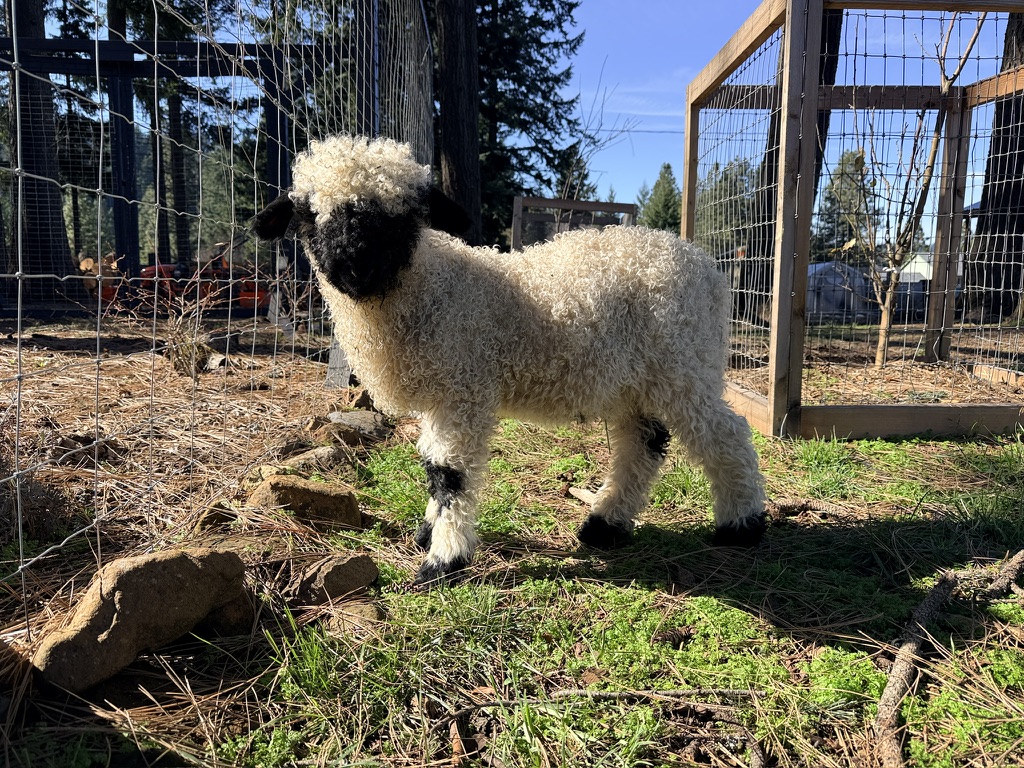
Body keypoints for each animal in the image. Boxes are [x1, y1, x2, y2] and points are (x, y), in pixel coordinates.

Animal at [253, 135, 766, 586]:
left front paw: (443, 561)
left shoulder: (463, 389)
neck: (432, 290)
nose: (353, 266)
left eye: (401, 216)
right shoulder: (440, 395)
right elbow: (432, 466)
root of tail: (705, 264)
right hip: (633, 380)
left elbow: (450, 474)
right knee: (643, 443)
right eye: (308, 214)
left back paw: (742, 525)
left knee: (725, 434)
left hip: (685, 364)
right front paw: (428, 532)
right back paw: (605, 526)